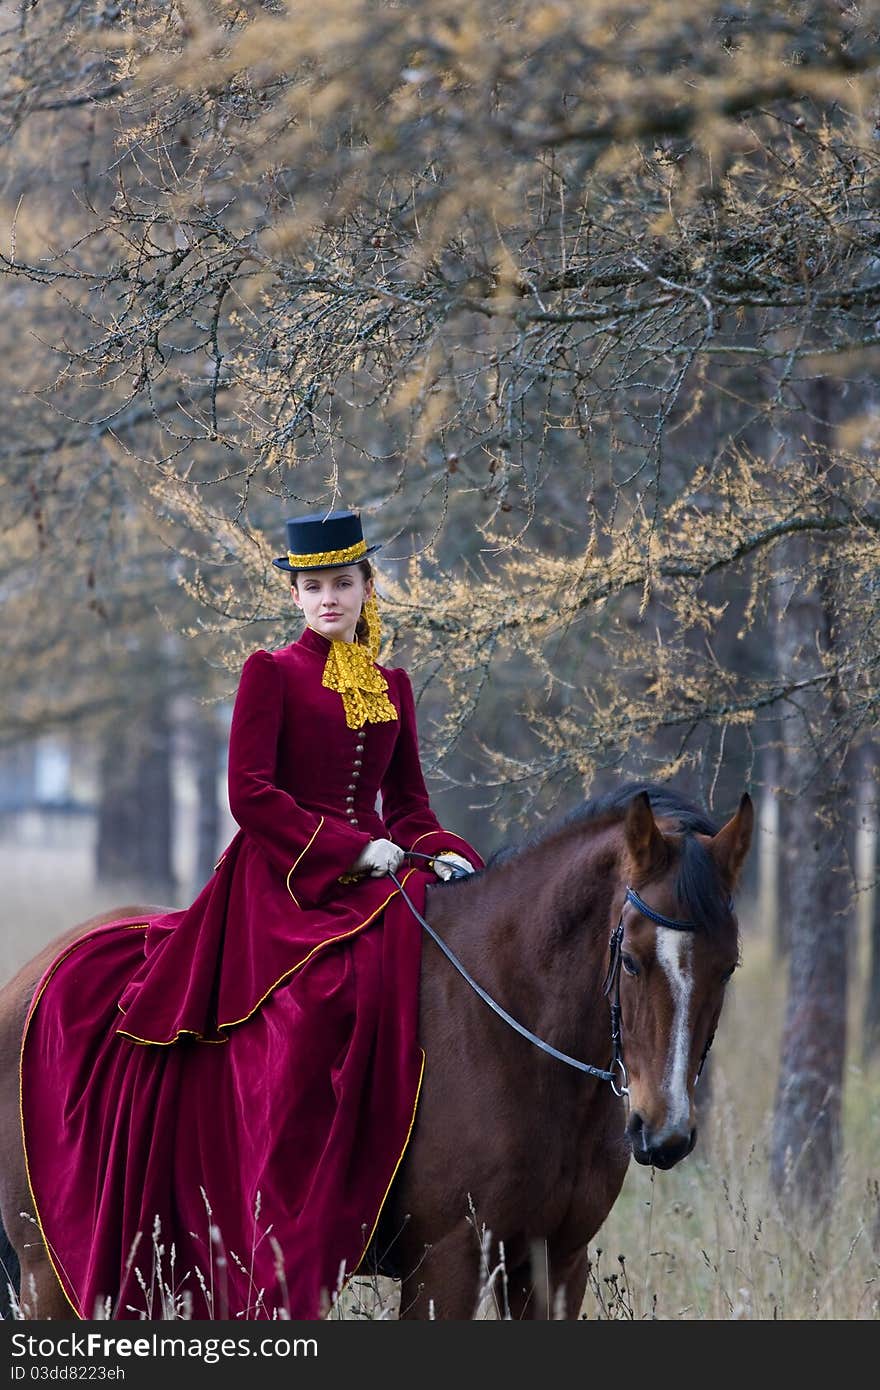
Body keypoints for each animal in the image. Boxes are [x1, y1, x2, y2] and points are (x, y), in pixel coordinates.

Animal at [1, 789, 750, 1317]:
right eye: (631, 959)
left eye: (728, 969)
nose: (664, 1134)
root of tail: (31, 977)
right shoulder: (446, 1262)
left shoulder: (554, 1264)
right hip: (53, 1277)